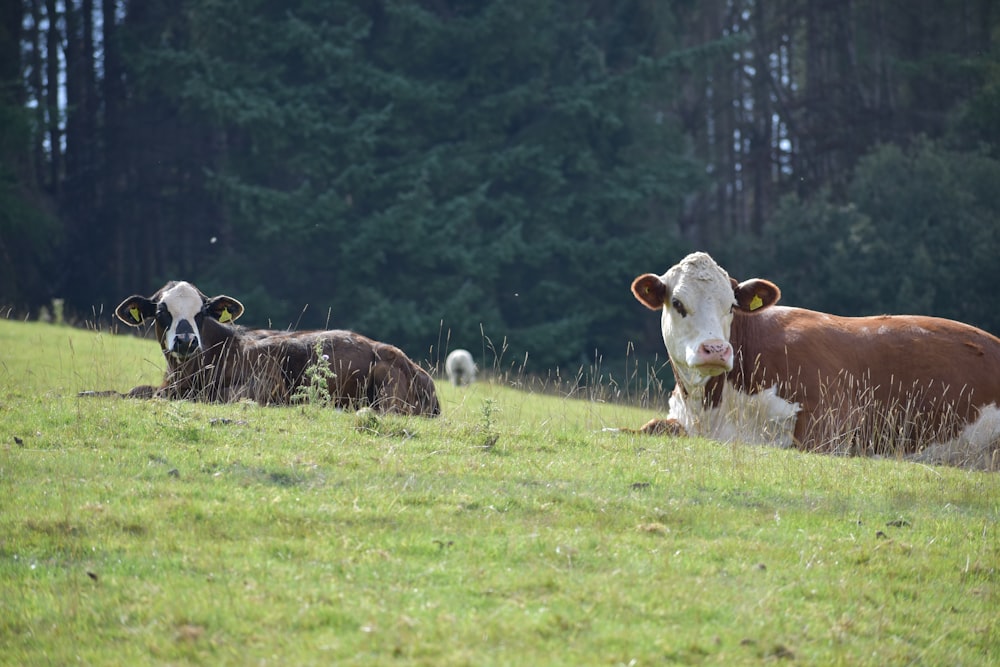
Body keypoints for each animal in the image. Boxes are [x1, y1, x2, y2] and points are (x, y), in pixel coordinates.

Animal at [105, 282, 442, 418]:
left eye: (201, 313)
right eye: (162, 312)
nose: (187, 341)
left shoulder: (264, 384)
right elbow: (133, 391)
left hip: (388, 386)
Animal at [632, 253, 1000, 468]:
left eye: (731, 305)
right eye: (678, 303)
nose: (716, 349)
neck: (712, 406)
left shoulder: (830, 418)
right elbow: (651, 427)